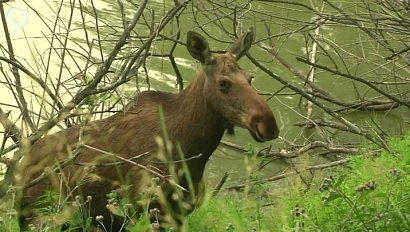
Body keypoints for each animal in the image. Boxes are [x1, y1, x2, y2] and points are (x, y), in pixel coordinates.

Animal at [15, 28, 278, 231]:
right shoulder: (147, 210)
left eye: (250, 77)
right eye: (223, 83)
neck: (192, 151)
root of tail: (20, 168)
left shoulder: (180, 212)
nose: (268, 124)